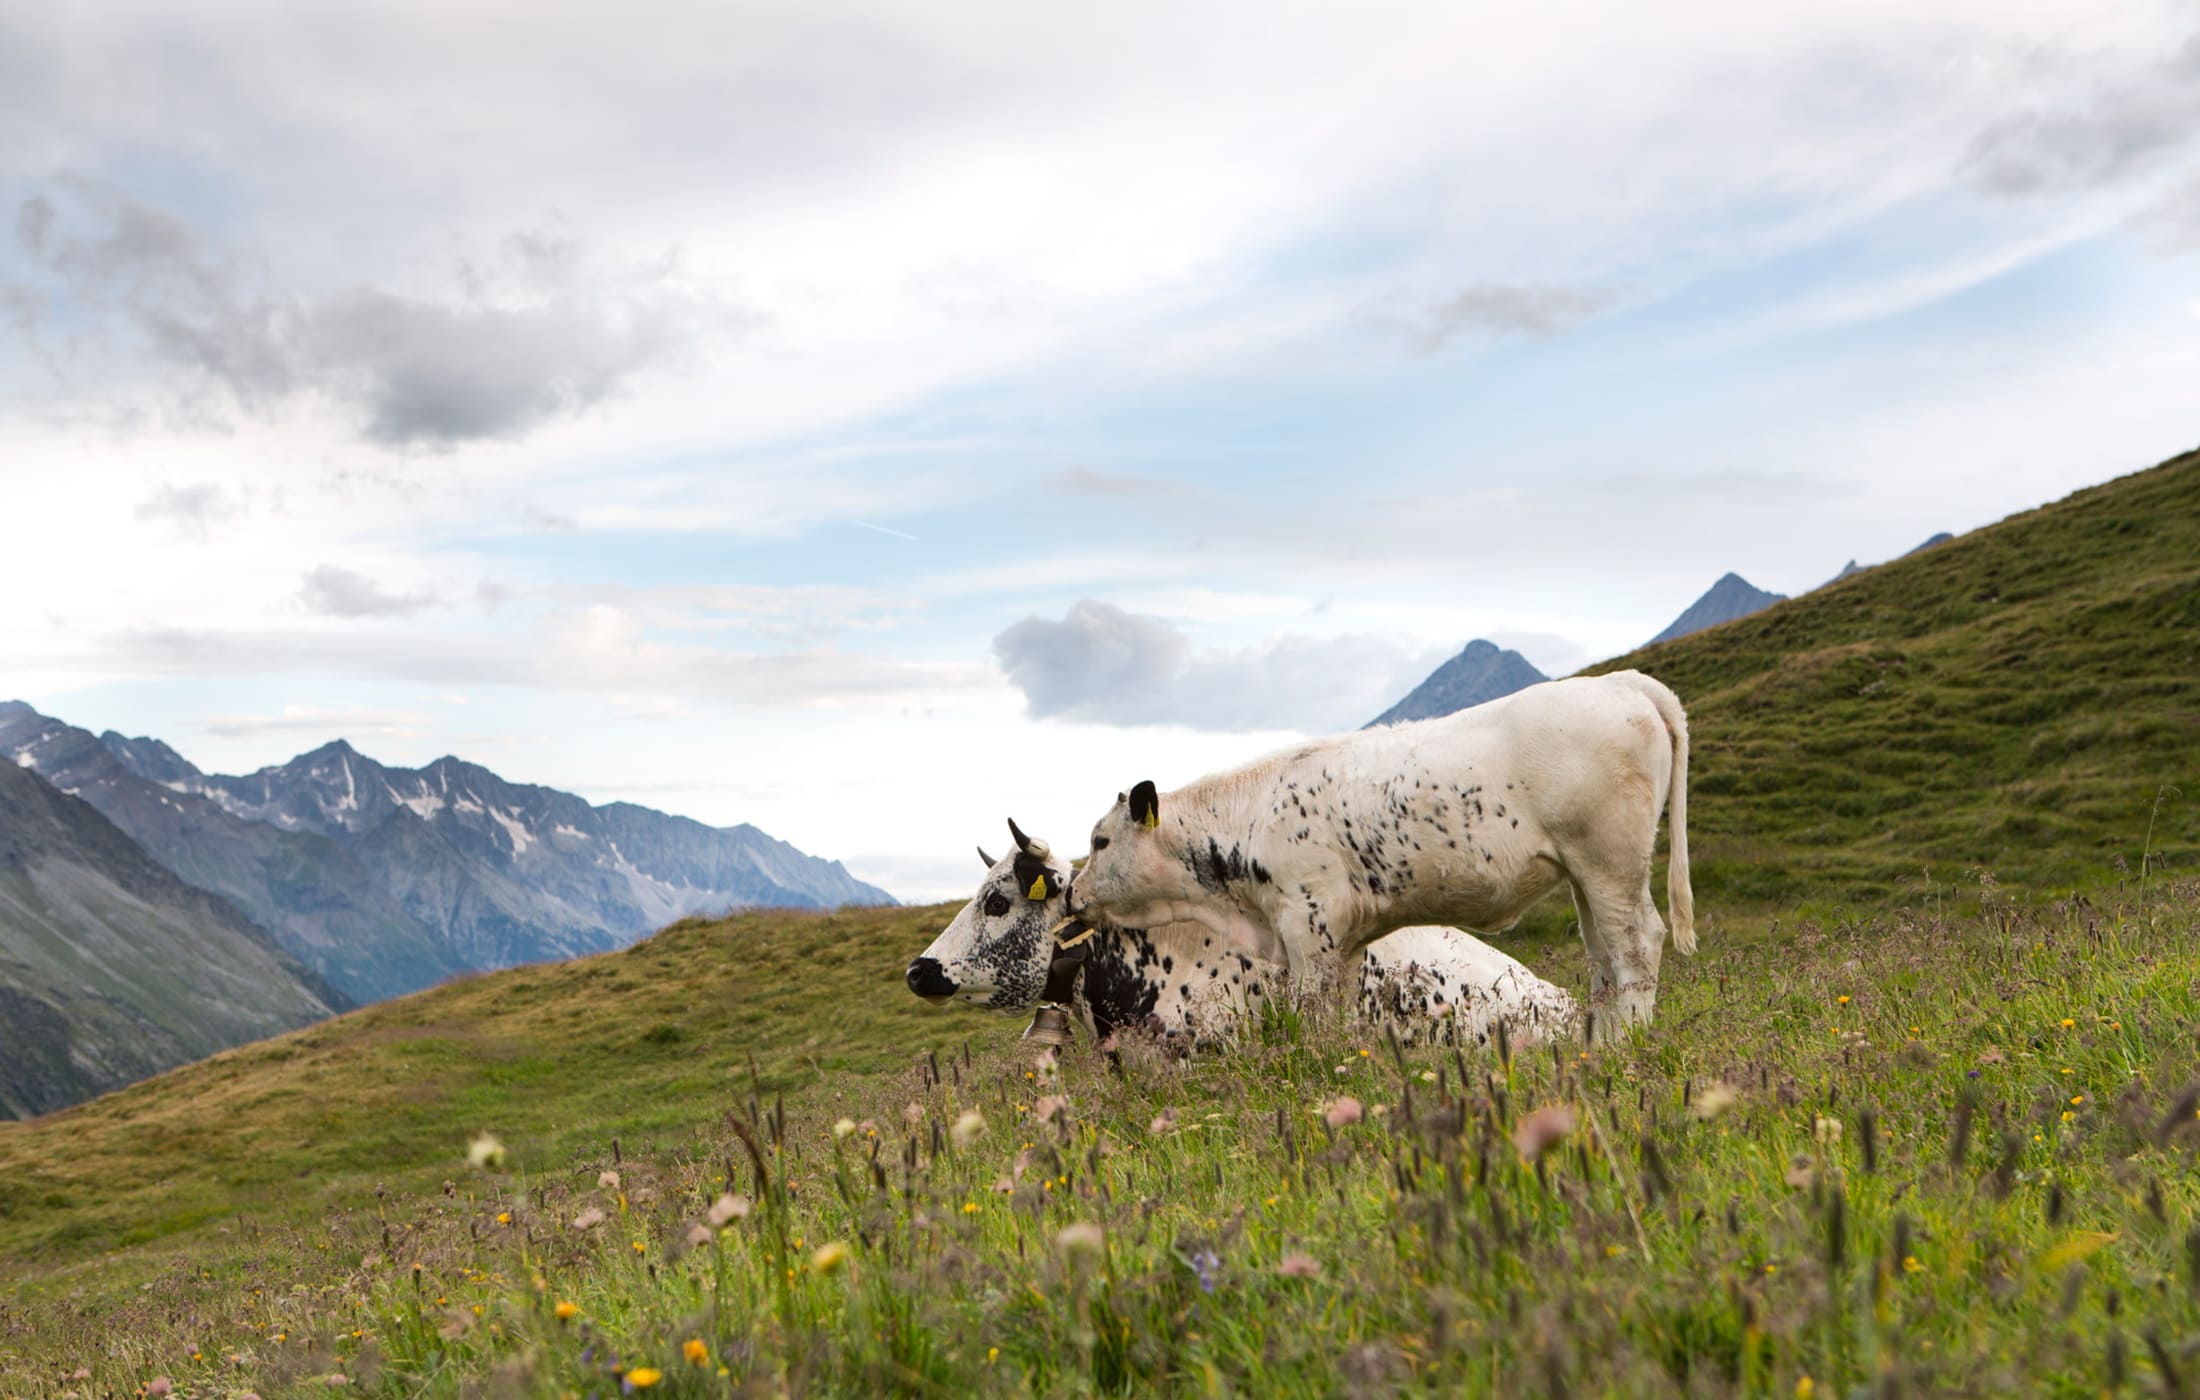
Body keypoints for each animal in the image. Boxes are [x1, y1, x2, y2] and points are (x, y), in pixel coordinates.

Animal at [1073, 669, 1689, 1038]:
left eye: (1100, 841)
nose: (1074, 892)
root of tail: (1622, 682)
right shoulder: (1344, 941)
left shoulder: (1308, 925)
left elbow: (1311, 1011)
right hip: (1585, 876)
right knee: (1605, 959)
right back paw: (1600, 1046)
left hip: (1610, 861)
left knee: (1636, 946)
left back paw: (1628, 1044)